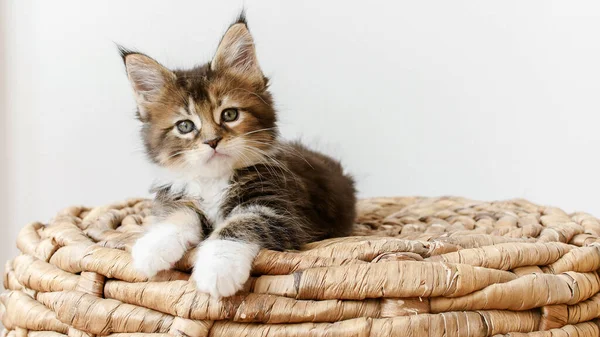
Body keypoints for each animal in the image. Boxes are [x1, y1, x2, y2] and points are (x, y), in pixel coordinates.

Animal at [122, 13, 356, 296]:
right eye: (185, 126)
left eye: (230, 114)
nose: (212, 141)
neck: (214, 181)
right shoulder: (177, 196)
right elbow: (181, 214)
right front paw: (153, 247)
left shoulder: (283, 211)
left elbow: (239, 224)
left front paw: (217, 269)